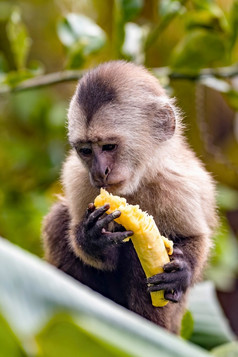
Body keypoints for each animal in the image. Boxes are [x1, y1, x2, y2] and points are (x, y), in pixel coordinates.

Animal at [42, 60, 218, 330]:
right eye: (85, 150)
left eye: (109, 147)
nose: (100, 172)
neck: (136, 181)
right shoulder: (77, 178)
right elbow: (98, 253)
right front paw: (92, 238)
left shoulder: (177, 185)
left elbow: (194, 237)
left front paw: (183, 271)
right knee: (58, 219)